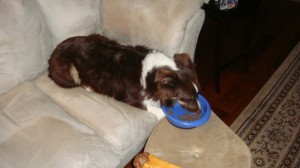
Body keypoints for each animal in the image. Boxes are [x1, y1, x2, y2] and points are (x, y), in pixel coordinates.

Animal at [48, 33, 200, 118]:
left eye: (198, 94)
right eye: (187, 98)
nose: (199, 112)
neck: (152, 75)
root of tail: (50, 58)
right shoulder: (128, 98)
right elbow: (157, 111)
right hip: (68, 69)